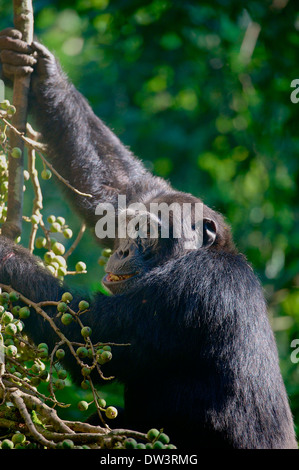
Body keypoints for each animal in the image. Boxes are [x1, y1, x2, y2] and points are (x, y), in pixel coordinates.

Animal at [0, 28, 298, 448]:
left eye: (147, 232)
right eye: (129, 226)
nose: (124, 248)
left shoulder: (192, 291)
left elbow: (90, 334)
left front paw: (3, 253)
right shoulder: (146, 194)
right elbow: (116, 188)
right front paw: (35, 65)